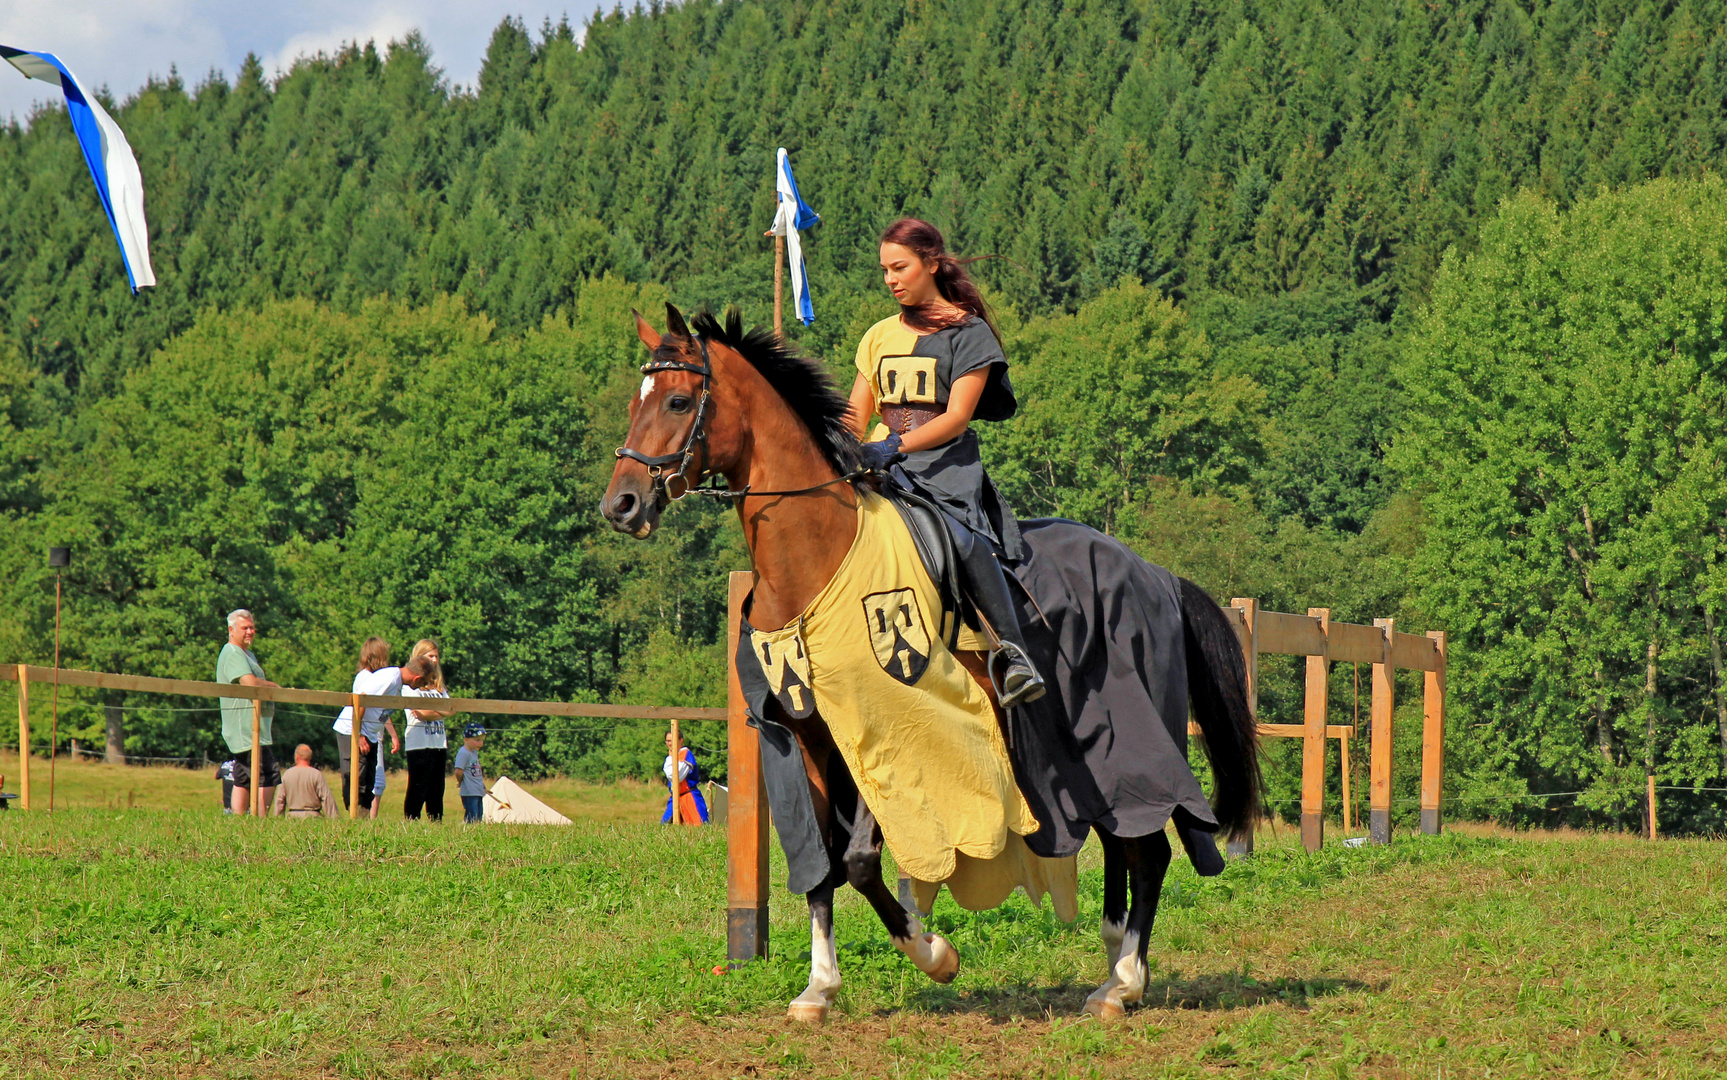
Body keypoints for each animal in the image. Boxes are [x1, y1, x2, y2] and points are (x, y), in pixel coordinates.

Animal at [600, 304, 1264, 1016]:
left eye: (676, 400)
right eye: (635, 401)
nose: (621, 505)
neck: (815, 558)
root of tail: (1155, 574)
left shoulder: (883, 724)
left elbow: (860, 861)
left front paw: (935, 955)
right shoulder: (808, 737)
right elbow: (823, 866)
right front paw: (819, 987)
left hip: (1128, 740)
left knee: (1150, 846)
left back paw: (1125, 983)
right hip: (1088, 756)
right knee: (1126, 842)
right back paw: (1114, 966)